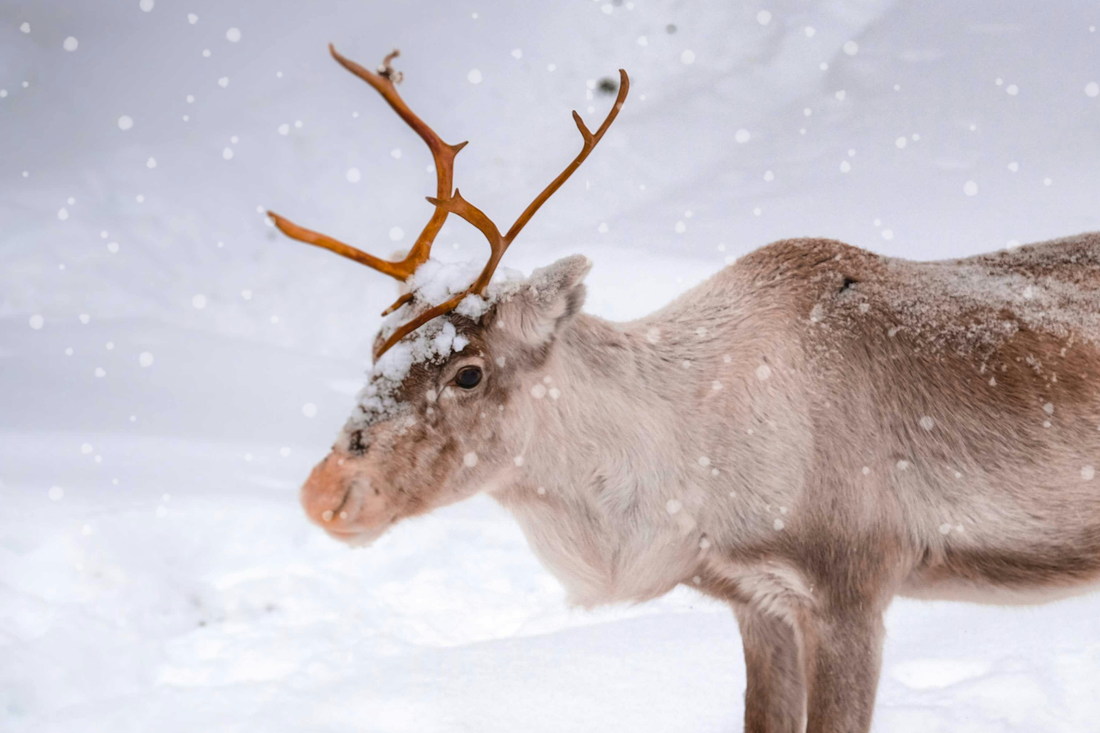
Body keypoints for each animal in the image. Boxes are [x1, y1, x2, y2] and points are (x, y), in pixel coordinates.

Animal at [268, 45, 1100, 733]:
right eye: (376, 345)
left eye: (468, 370)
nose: (326, 491)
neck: (685, 463)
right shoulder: (757, 600)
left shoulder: (851, 587)